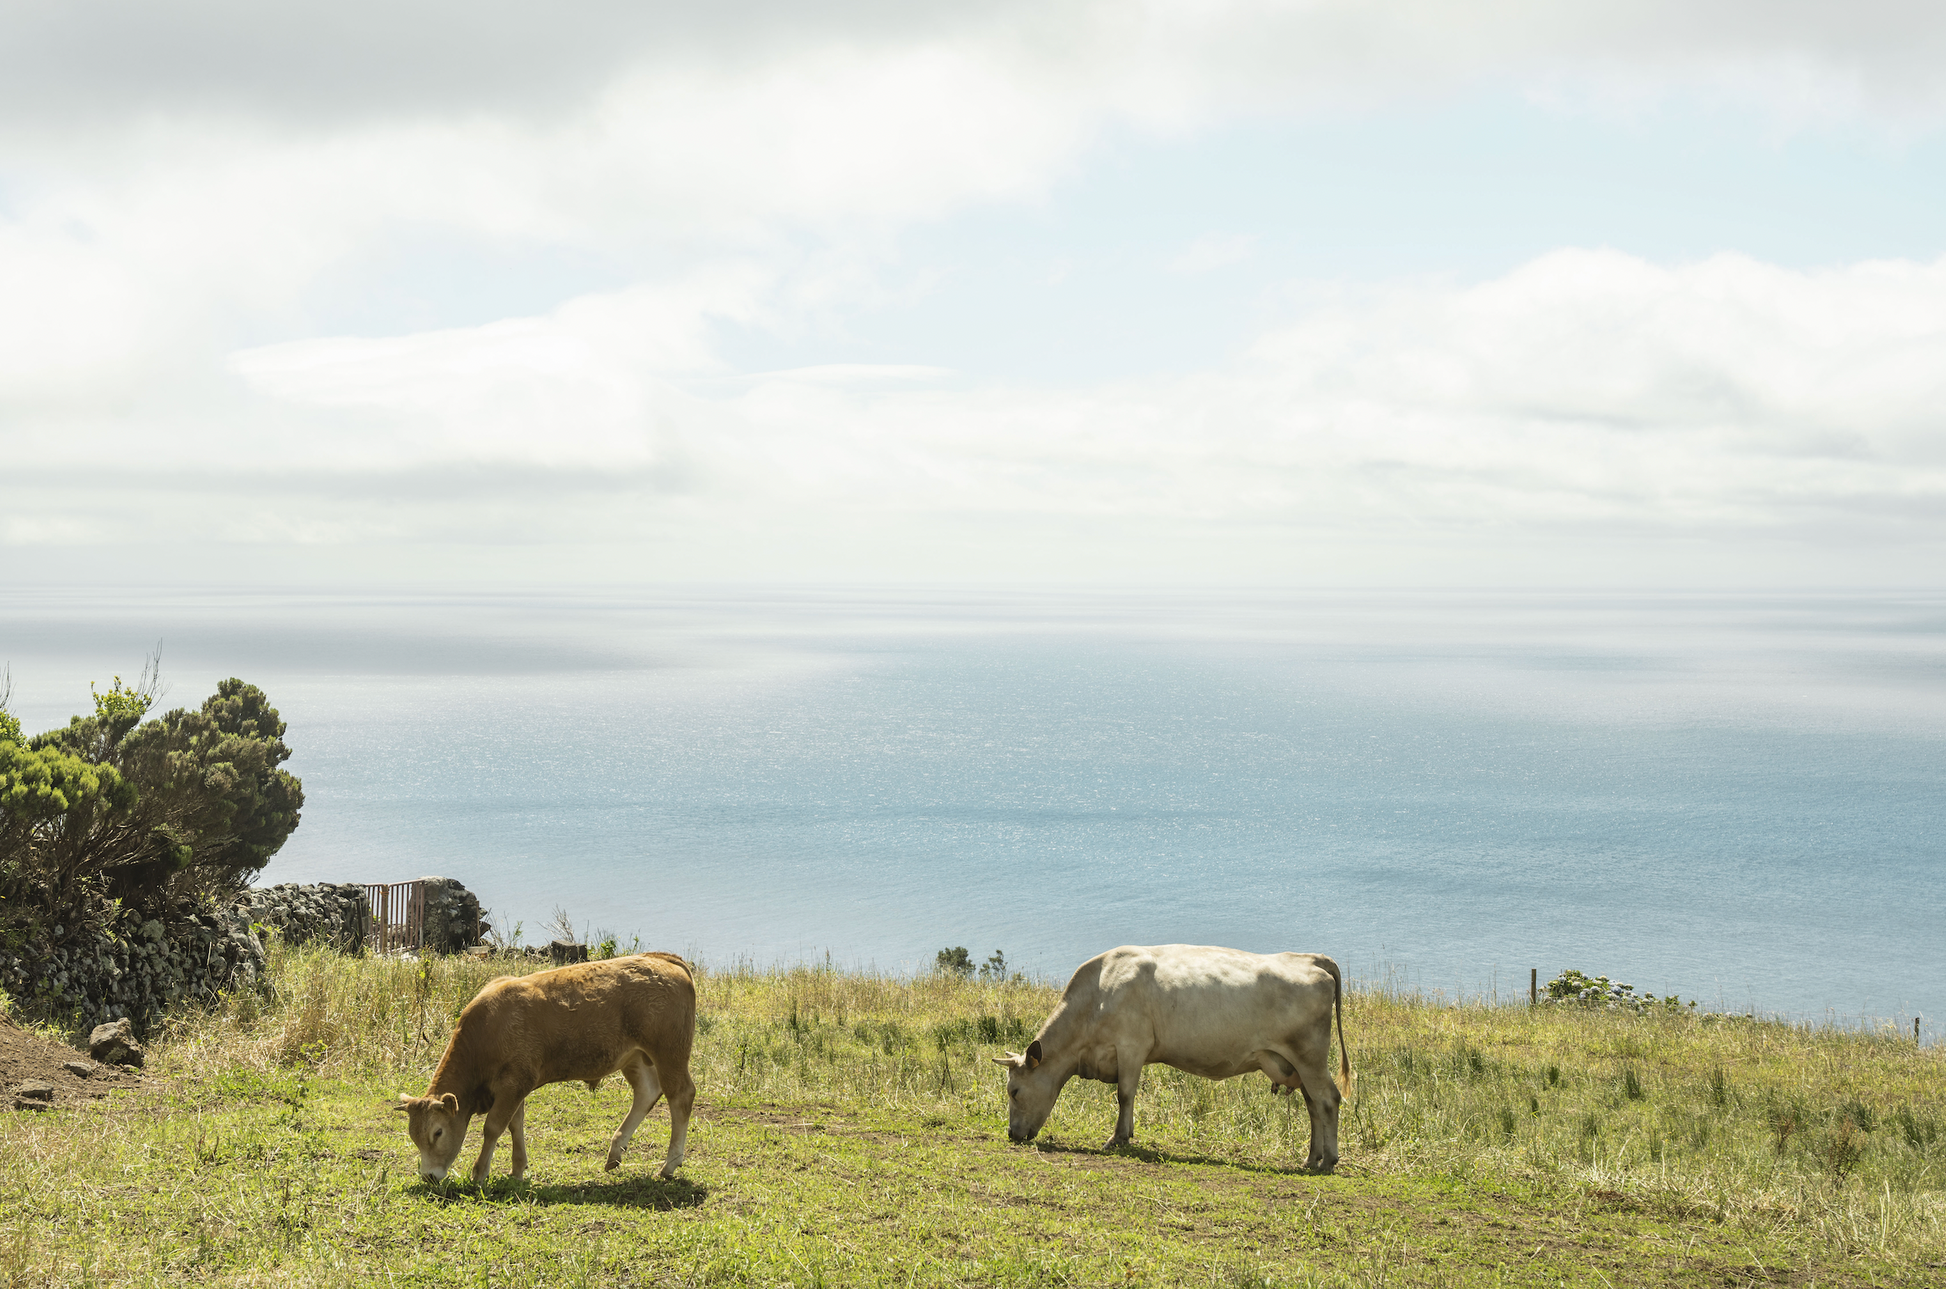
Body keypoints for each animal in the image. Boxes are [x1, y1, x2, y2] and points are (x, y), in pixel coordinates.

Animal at [395, 954, 700, 1183]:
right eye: (413, 1135)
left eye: (437, 1133)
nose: (429, 1176)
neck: (488, 1029)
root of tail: (662, 959)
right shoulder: (515, 1086)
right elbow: (515, 1125)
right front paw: (518, 1170)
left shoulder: (514, 1082)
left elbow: (493, 1127)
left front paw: (480, 1173)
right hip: (635, 1057)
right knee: (647, 1092)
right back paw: (615, 1153)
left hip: (669, 1053)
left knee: (680, 1096)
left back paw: (669, 1164)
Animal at [988, 950, 1354, 1168]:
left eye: (1014, 1091)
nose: (1012, 1134)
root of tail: (1311, 958)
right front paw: (1126, 1134)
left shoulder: (1132, 1045)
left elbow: (1124, 1094)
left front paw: (1118, 1138)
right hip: (1299, 1064)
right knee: (1314, 1106)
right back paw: (1311, 1158)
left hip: (1310, 1058)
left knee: (1328, 1099)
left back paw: (1329, 1160)